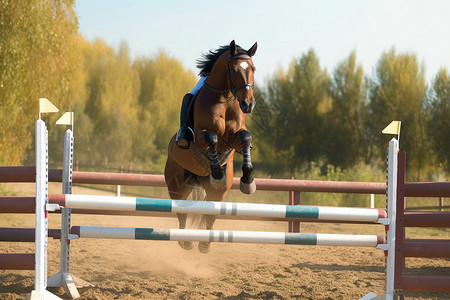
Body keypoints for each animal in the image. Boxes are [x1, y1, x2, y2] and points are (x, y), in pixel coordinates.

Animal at [164, 40, 256, 253]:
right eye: (233, 69)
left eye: (253, 69)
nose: (248, 104)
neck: (225, 98)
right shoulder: (200, 136)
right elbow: (212, 139)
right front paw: (217, 174)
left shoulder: (234, 138)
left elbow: (246, 137)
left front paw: (248, 180)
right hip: (176, 185)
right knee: (182, 210)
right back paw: (186, 241)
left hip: (215, 193)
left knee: (210, 210)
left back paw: (205, 243)